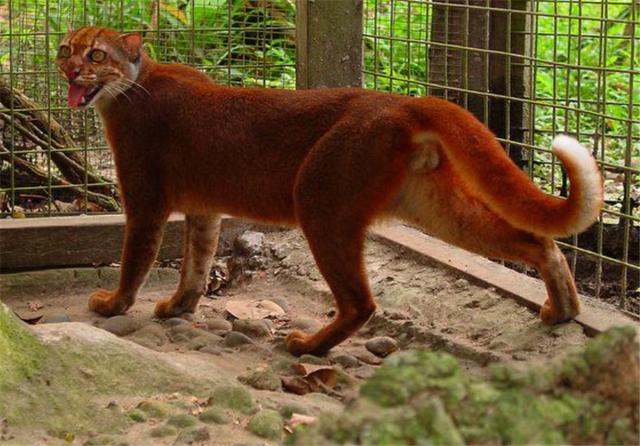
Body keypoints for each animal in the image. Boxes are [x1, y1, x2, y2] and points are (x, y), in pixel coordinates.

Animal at [57, 27, 604, 356]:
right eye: (66, 48)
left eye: (97, 54)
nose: (69, 69)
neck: (134, 85)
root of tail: (404, 102)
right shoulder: (204, 211)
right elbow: (195, 263)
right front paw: (178, 308)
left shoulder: (145, 200)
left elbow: (136, 259)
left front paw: (112, 305)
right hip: (433, 205)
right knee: (538, 240)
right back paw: (563, 311)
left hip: (318, 199)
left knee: (361, 301)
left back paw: (307, 346)